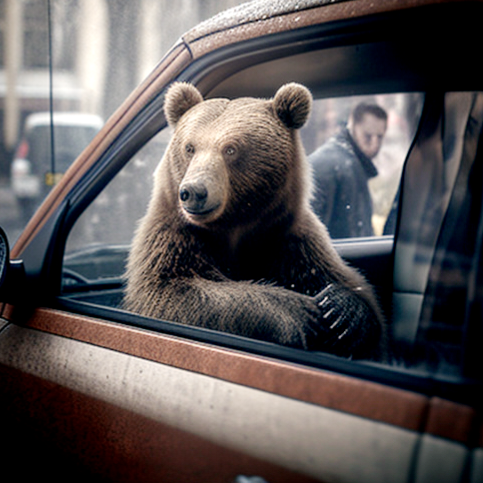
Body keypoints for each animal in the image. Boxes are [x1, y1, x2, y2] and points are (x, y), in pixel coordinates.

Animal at [124, 81, 386, 360]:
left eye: (231, 149)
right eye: (189, 147)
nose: (193, 191)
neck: (235, 225)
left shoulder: (291, 240)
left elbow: (356, 291)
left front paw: (340, 310)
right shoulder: (174, 239)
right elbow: (166, 292)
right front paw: (301, 312)